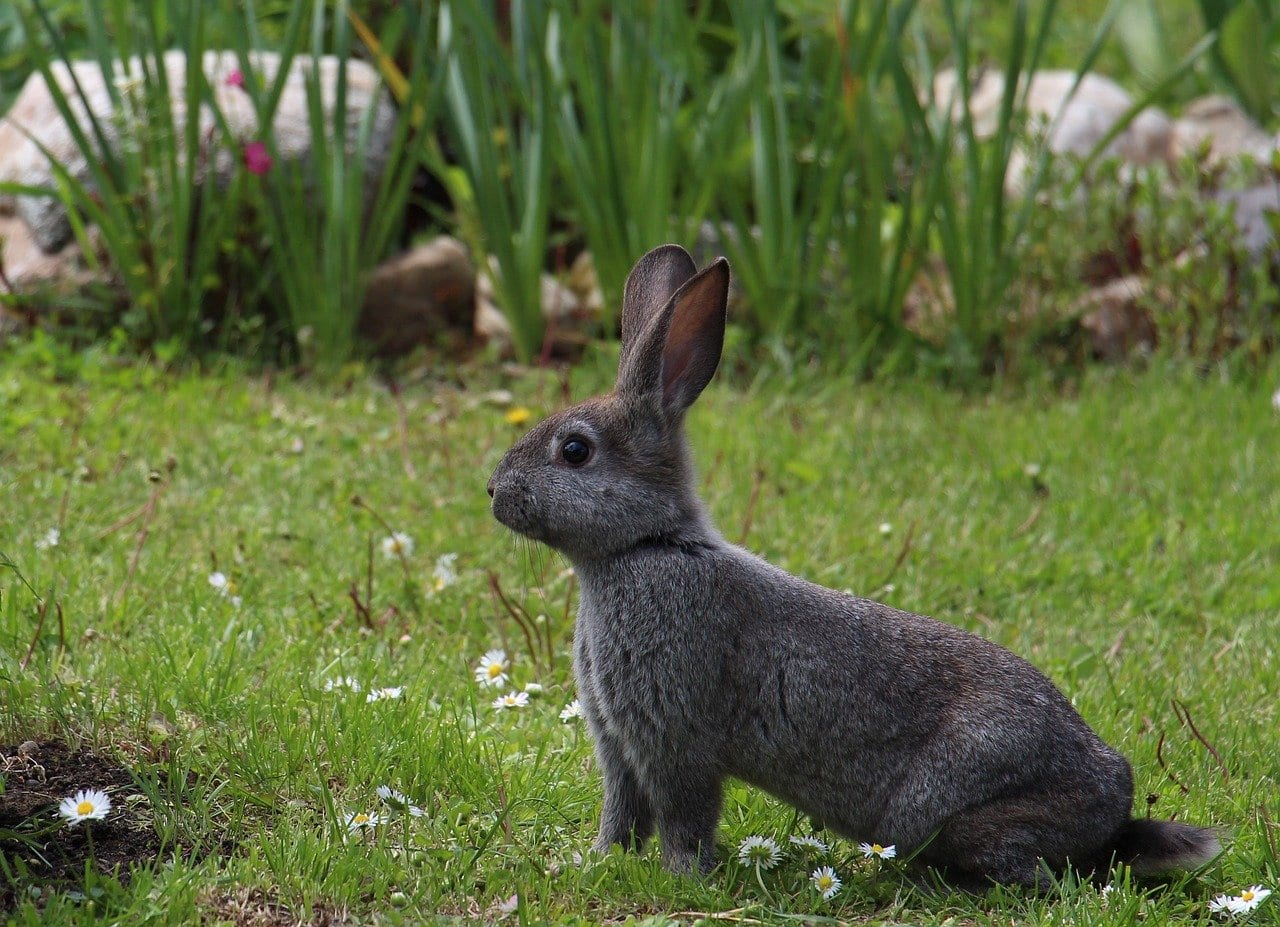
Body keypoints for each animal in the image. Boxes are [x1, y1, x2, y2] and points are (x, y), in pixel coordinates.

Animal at [486, 244, 1220, 888]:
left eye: (575, 450)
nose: (493, 490)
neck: (646, 544)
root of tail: (1113, 803)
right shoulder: (617, 744)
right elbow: (621, 812)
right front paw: (596, 862)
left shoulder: (675, 738)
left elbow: (683, 817)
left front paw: (681, 879)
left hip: (944, 807)